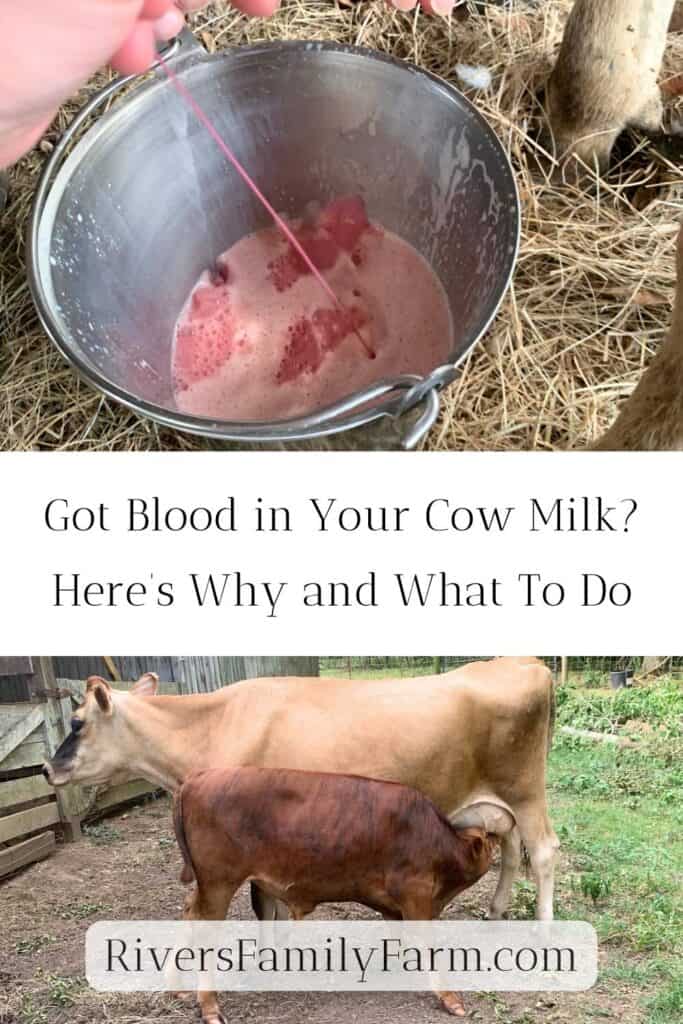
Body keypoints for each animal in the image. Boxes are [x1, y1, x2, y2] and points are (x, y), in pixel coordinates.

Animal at [42, 659, 557, 925]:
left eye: (77, 722)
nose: (46, 768)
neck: (212, 724)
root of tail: (524, 662)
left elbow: (263, 906)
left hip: (526, 790)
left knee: (544, 852)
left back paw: (544, 930)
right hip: (498, 801)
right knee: (510, 849)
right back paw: (497, 911)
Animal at [174, 770, 516, 1024]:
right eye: (491, 840)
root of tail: (197, 779)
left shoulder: (392, 905)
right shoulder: (415, 894)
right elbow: (428, 947)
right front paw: (449, 999)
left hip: (208, 886)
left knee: (189, 913)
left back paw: (178, 988)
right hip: (219, 882)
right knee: (204, 931)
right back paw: (209, 1007)